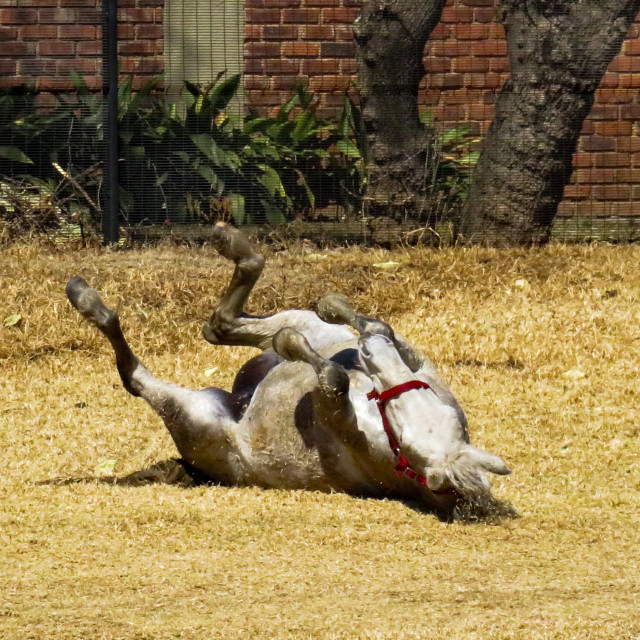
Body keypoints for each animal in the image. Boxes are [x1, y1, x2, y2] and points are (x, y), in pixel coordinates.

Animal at [65, 224, 516, 520]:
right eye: (415, 404)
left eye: (404, 435)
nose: (371, 356)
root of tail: (236, 399)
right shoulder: (411, 361)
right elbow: (376, 328)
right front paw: (351, 322)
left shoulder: (339, 416)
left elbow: (332, 377)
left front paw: (304, 348)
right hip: (297, 320)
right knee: (221, 325)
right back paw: (233, 244)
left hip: (195, 420)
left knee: (135, 374)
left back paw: (88, 299)